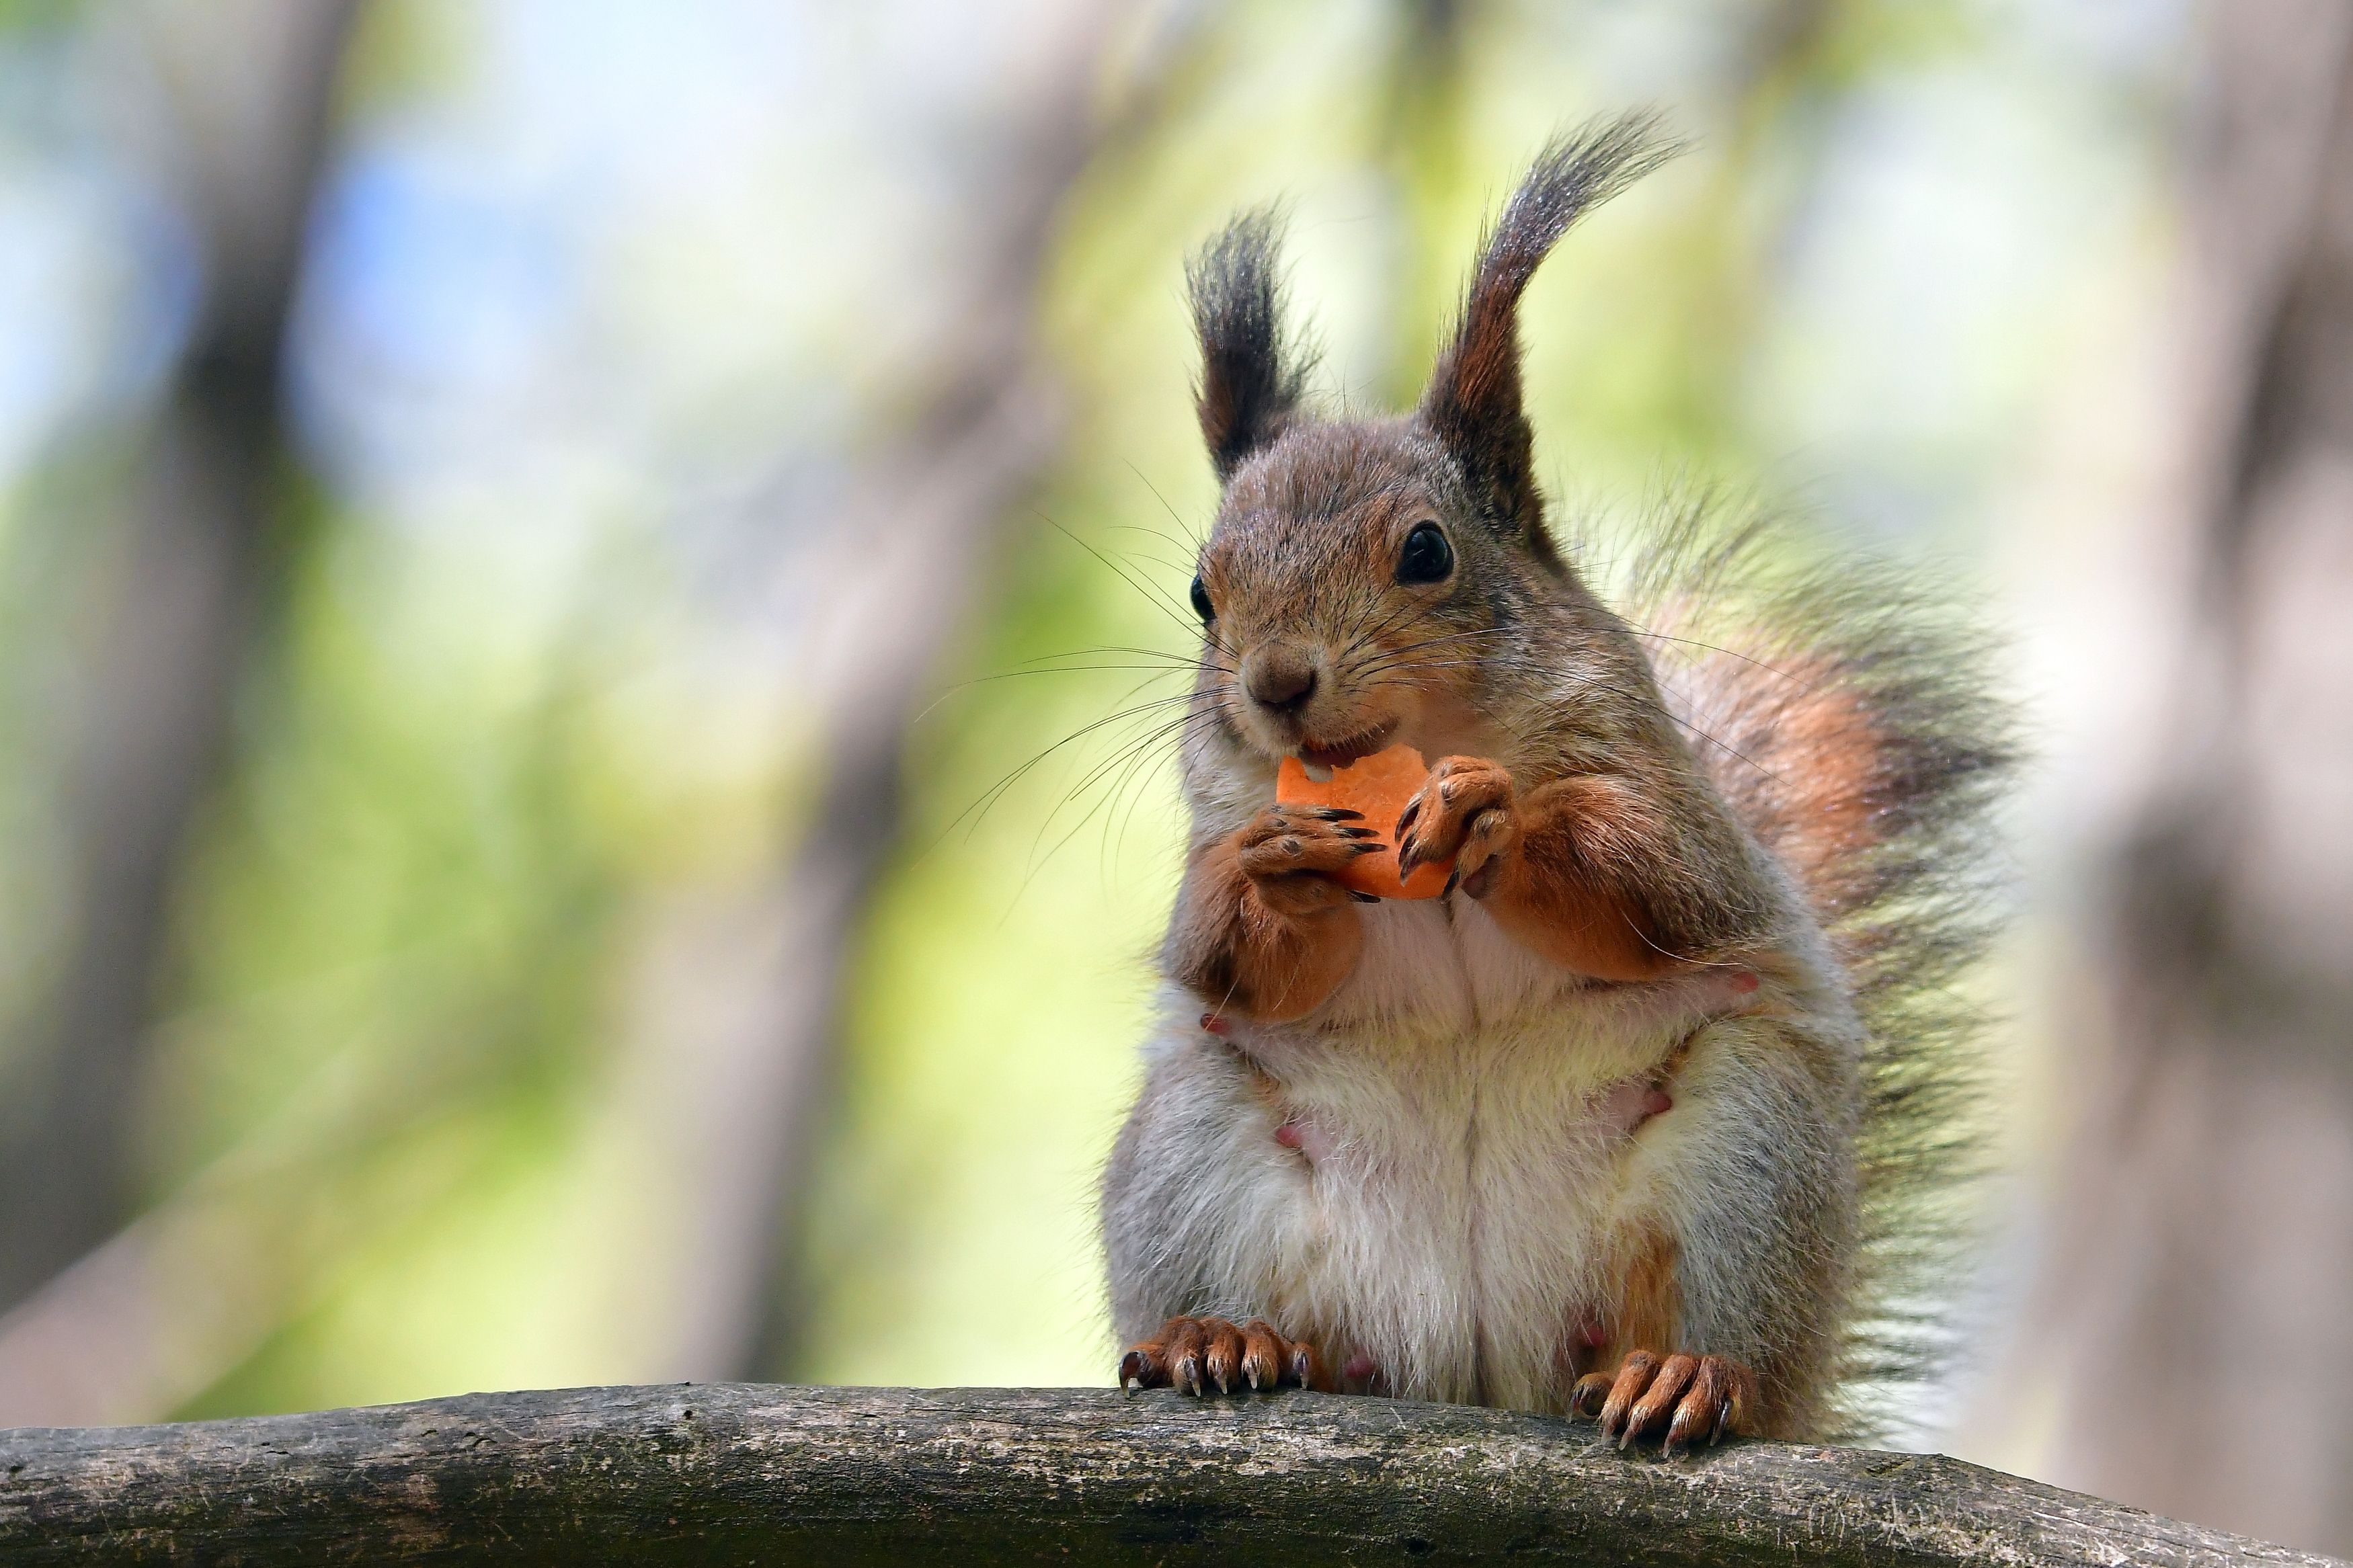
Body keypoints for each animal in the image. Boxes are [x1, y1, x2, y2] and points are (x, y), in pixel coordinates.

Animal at [1096, 116, 2005, 1457]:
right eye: (1204, 592)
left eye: (1427, 550)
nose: (1275, 683)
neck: (1429, 734)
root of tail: (1477, 1364)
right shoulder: (1213, 807)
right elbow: (1227, 948)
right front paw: (1274, 867)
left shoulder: (1655, 774)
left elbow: (1660, 881)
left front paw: (1498, 816)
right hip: (1200, 1145)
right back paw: (1225, 1335)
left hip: (1748, 1154)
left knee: (1717, 1316)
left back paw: (1684, 1373)